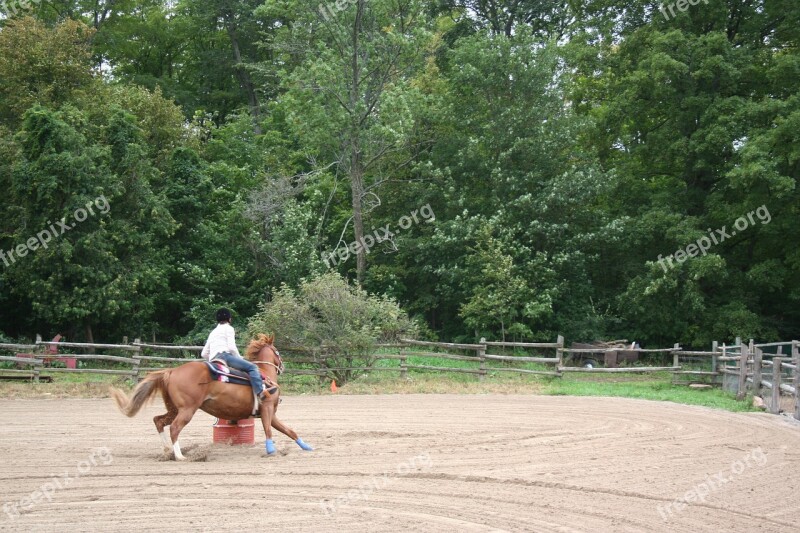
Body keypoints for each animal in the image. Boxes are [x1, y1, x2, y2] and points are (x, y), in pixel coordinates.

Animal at [111, 332, 310, 458]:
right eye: (277, 352)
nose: (282, 366)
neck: (264, 374)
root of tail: (171, 371)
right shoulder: (267, 408)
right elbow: (269, 429)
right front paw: (270, 450)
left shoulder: (270, 413)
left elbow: (288, 430)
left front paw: (306, 446)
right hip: (187, 409)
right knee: (174, 428)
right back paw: (180, 456)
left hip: (174, 409)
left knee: (158, 421)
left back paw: (167, 450)